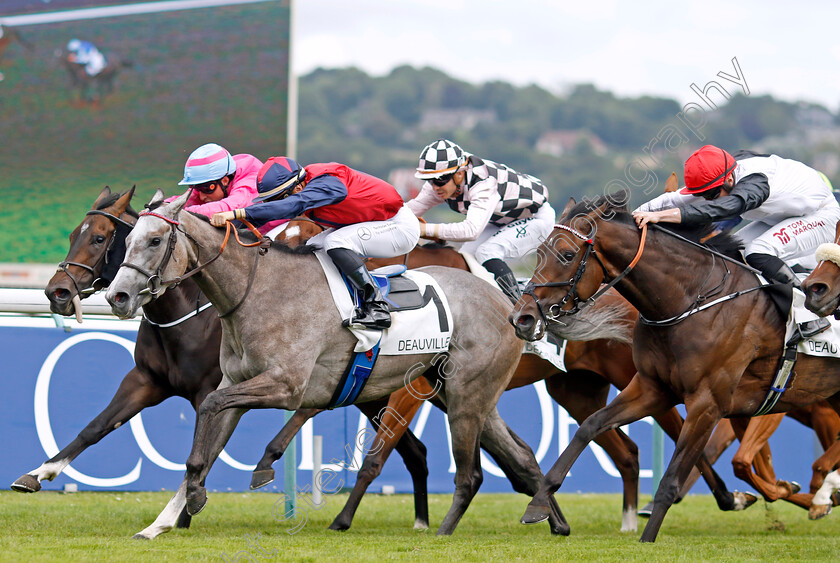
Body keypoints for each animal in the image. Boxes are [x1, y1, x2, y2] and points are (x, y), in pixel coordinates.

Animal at [18, 187, 434, 540]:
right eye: (74, 234)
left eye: (101, 238)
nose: (56, 292)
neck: (187, 314)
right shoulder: (147, 380)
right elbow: (97, 426)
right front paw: (37, 473)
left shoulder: (216, 388)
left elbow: (207, 447)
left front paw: (184, 511)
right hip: (371, 391)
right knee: (412, 450)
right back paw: (411, 519)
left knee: (343, 431)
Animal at [103, 192, 564, 540]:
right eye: (127, 240)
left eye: (155, 240)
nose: (117, 297)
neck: (259, 291)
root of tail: (507, 302)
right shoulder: (239, 382)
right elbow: (208, 441)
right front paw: (164, 520)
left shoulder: (286, 386)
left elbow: (211, 411)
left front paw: (198, 497)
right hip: (463, 395)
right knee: (521, 455)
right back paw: (551, 519)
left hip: (465, 395)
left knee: (471, 474)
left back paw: (444, 531)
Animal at [512, 193, 840, 540]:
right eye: (539, 253)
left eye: (567, 254)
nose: (522, 317)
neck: (691, 302)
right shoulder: (652, 388)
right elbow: (590, 426)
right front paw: (538, 503)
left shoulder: (707, 403)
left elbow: (671, 479)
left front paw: (647, 539)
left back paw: (819, 494)